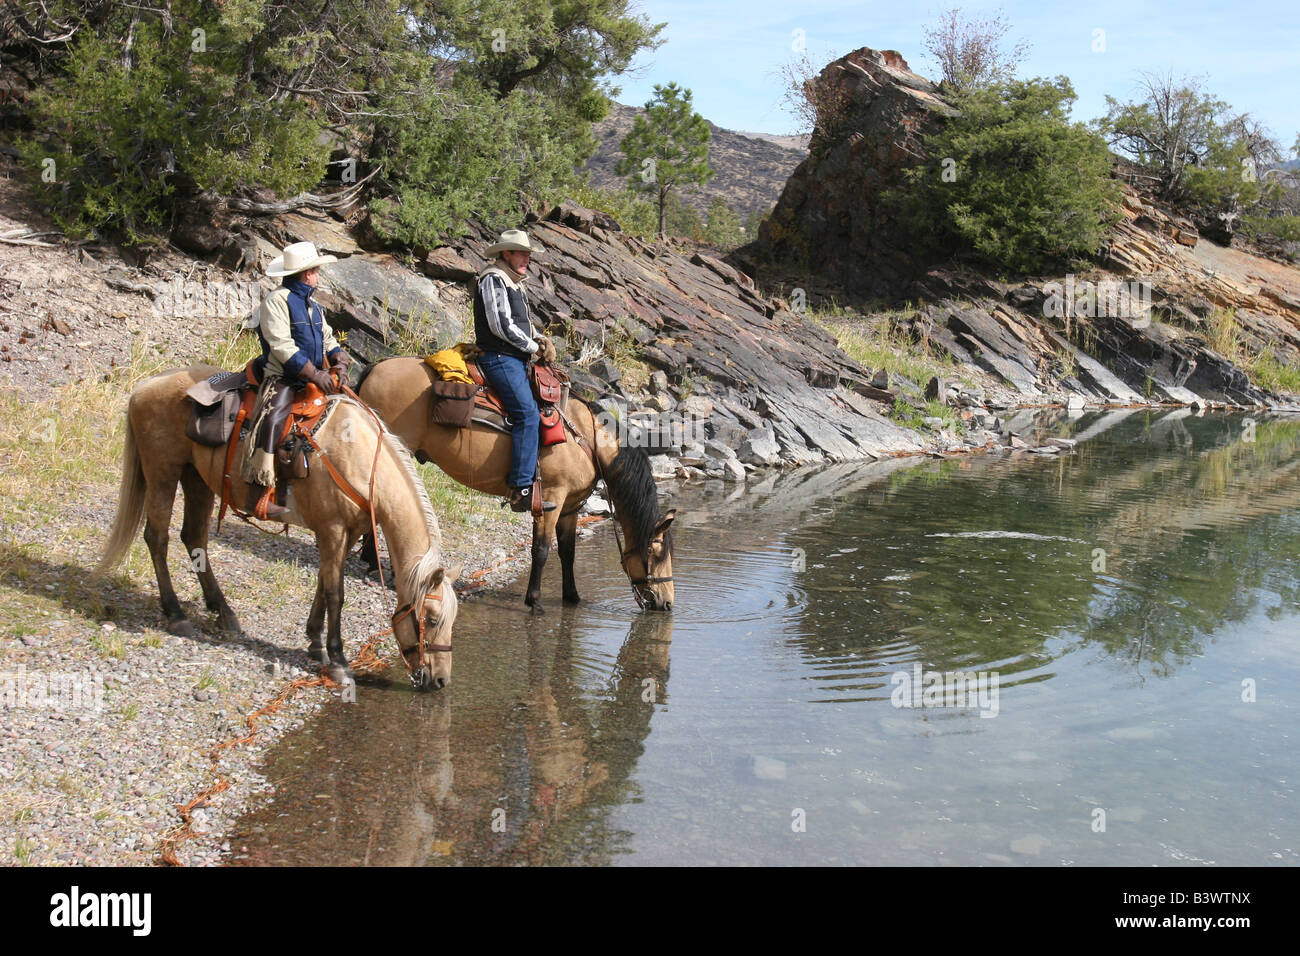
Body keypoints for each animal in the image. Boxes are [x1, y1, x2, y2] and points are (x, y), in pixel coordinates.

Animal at [98, 365, 460, 690]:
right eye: (431, 619)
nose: (441, 680)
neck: (358, 459)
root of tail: (146, 386)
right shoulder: (332, 529)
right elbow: (335, 593)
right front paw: (338, 661)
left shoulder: (346, 532)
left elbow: (323, 583)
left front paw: (315, 643)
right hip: (163, 471)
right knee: (158, 537)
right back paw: (176, 614)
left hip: (196, 478)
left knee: (194, 538)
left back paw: (223, 612)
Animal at [356, 356, 675, 612]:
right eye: (655, 552)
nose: (668, 603)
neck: (587, 438)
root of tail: (376, 367)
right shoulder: (551, 498)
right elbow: (542, 550)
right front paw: (534, 601)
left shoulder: (570, 507)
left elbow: (567, 552)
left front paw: (572, 597)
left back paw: (370, 559)